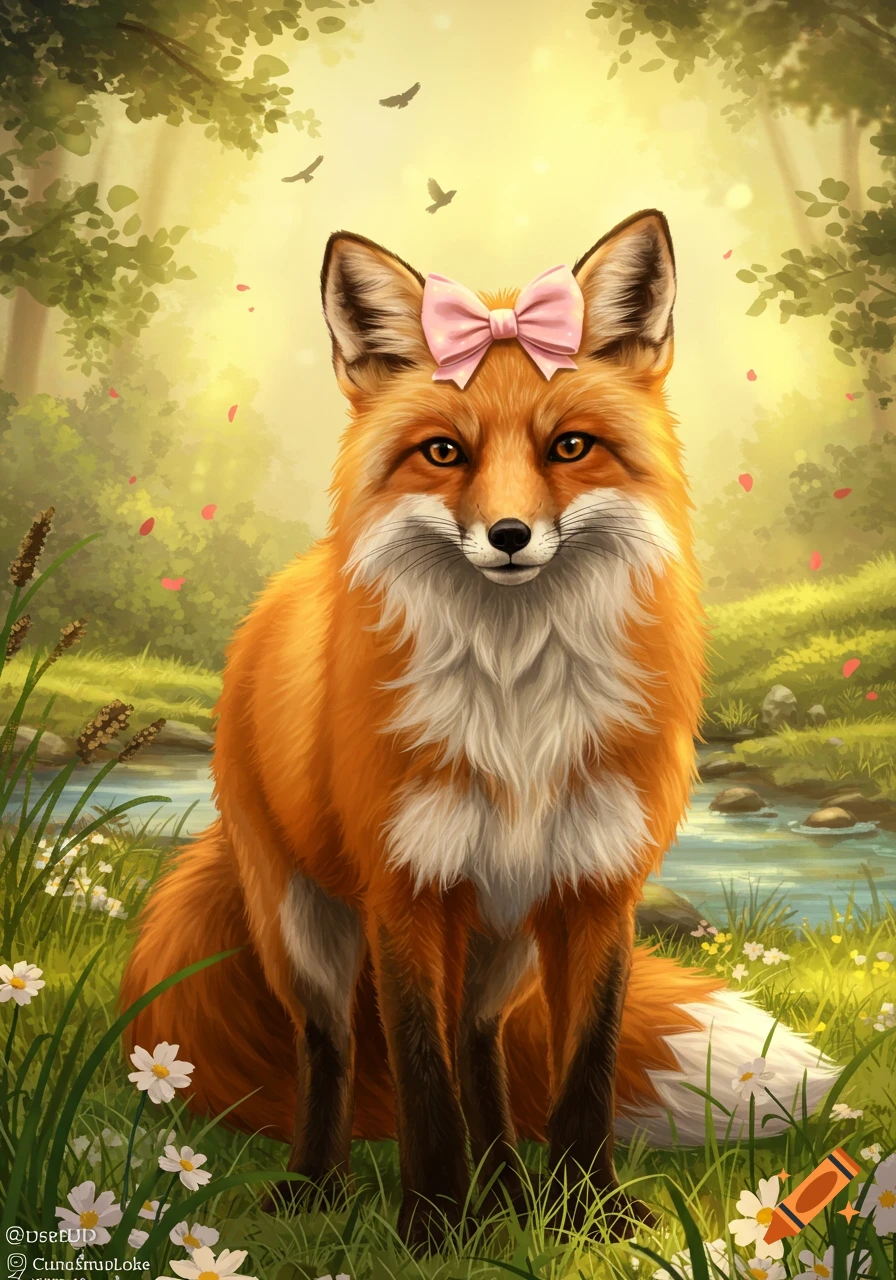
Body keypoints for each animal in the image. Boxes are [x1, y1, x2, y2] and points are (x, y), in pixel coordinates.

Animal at [120, 210, 839, 1249]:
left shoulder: (595, 889)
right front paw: (430, 1228)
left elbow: (578, 1071)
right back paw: (323, 1189)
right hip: (306, 923)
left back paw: (509, 1196)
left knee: (483, 1048)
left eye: (570, 446)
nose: (507, 536)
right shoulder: (406, 890)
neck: (517, 705)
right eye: (444, 453)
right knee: (333, 1049)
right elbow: (422, 1080)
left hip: (504, 939)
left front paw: (589, 1218)